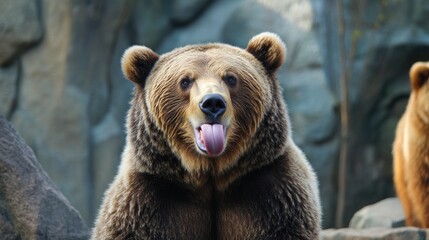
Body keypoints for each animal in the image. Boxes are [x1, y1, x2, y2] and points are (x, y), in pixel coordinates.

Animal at [92, 32, 320, 240]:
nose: (213, 103)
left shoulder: (273, 192)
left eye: (231, 78)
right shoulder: (147, 199)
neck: (209, 173)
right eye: (185, 81)